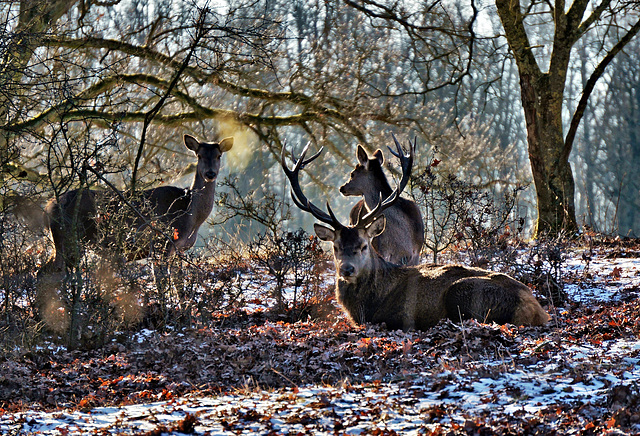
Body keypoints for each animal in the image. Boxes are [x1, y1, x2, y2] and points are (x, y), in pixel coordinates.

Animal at [40, 135, 231, 274]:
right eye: (199, 155)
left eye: (218, 155)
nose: (210, 173)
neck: (190, 216)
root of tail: (49, 206)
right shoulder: (162, 243)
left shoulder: (179, 250)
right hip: (68, 236)